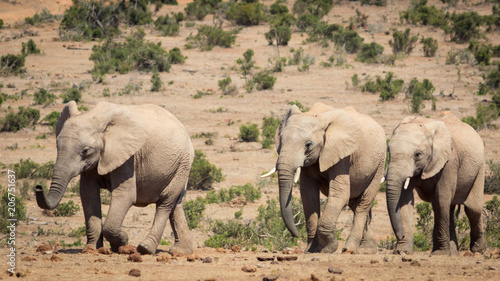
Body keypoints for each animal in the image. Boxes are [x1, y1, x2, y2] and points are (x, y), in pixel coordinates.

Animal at [35, 100, 194, 254]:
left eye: (85, 151)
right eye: (57, 145)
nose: (38, 186)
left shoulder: (128, 158)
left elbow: (125, 195)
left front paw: (122, 242)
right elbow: (88, 195)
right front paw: (91, 249)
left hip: (183, 163)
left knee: (165, 201)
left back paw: (146, 249)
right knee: (176, 204)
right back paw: (181, 251)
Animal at [262, 103, 386, 254]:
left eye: (308, 144)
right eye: (280, 140)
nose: (295, 234)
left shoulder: (342, 154)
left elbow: (340, 194)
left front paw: (328, 248)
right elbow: (308, 196)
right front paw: (311, 250)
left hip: (379, 163)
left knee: (363, 204)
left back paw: (349, 249)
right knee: (355, 203)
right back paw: (366, 250)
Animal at [384, 112, 486, 255]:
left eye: (418, 154)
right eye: (388, 150)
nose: (401, 236)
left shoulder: (450, 161)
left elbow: (440, 199)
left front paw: (440, 253)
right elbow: (404, 200)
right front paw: (402, 252)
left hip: (480, 168)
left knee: (473, 209)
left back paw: (478, 250)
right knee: (450, 209)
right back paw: (453, 254)